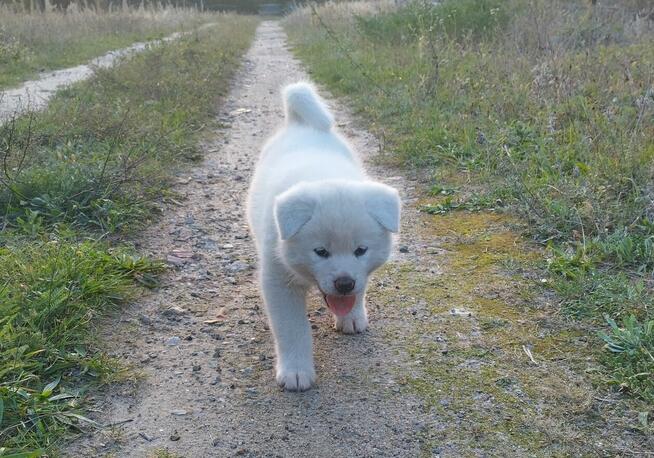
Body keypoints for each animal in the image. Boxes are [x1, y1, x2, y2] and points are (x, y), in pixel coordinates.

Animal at [246, 81, 400, 390]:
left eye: (360, 250)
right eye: (321, 252)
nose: (344, 283)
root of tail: (300, 124)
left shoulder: (361, 271)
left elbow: (360, 288)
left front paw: (352, 316)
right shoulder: (278, 282)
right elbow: (293, 329)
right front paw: (296, 371)